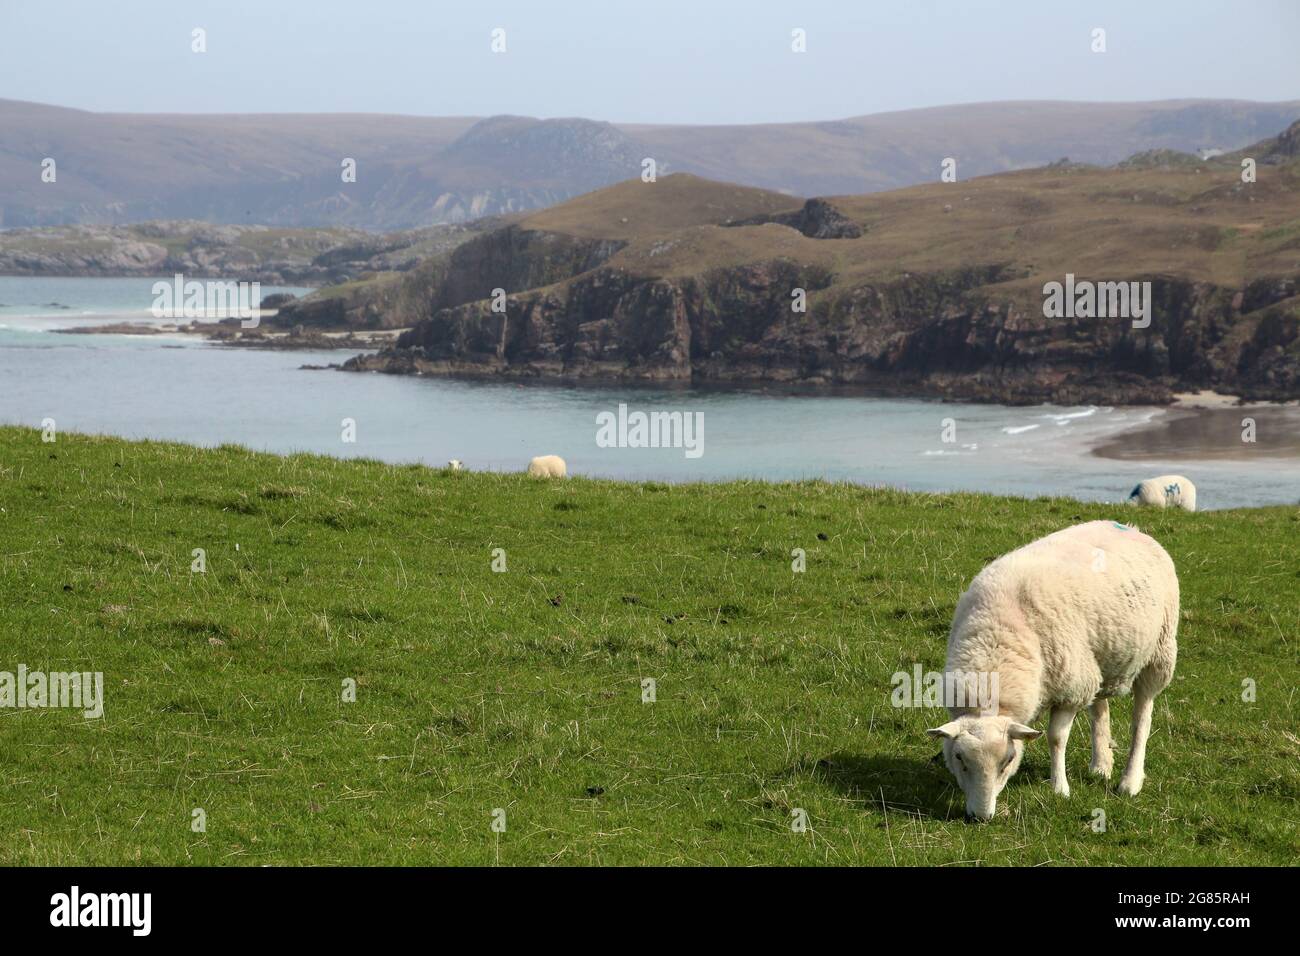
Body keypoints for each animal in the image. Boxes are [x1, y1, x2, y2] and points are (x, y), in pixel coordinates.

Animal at [925, 522, 1180, 822]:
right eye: (959, 759)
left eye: (1008, 760)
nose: (981, 817)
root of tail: (1131, 528)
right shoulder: (1081, 676)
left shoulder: (1071, 689)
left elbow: (1056, 738)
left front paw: (1059, 788)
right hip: (1097, 657)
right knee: (1100, 707)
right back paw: (1101, 764)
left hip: (1158, 653)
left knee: (1142, 718)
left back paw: (1130, 780)